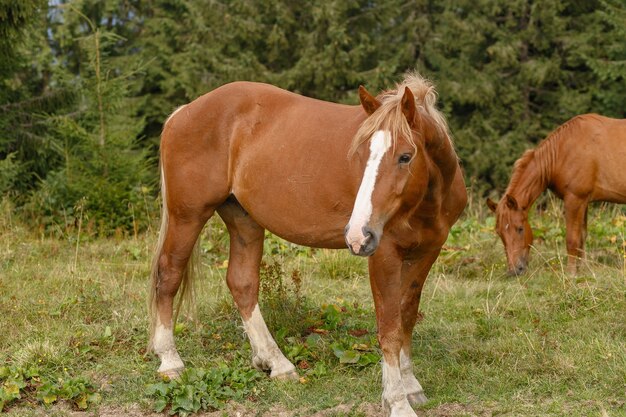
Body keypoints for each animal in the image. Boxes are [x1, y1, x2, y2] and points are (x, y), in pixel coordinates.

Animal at [149, 73, 466, 414]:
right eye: (359, 155)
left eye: (405, 156)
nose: (358, 234)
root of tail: (183, 112)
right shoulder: (384, 254)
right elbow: (390, 328)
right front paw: (396, 401)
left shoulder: (426, 252)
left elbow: (406, 316)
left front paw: (410, 386)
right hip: (188, 216)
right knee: (168, 276)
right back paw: (170, 361)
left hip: (243, 219)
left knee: (242, 283)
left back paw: (276, 363)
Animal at [486, 114, 624, 276]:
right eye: (499, 232)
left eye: (520, 228)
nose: (515, 270)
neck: (562, 151)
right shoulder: (584, 202)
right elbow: (582, 237)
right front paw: (583, 271)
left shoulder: (575, 200)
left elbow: (572, 240)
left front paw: (571, 274)